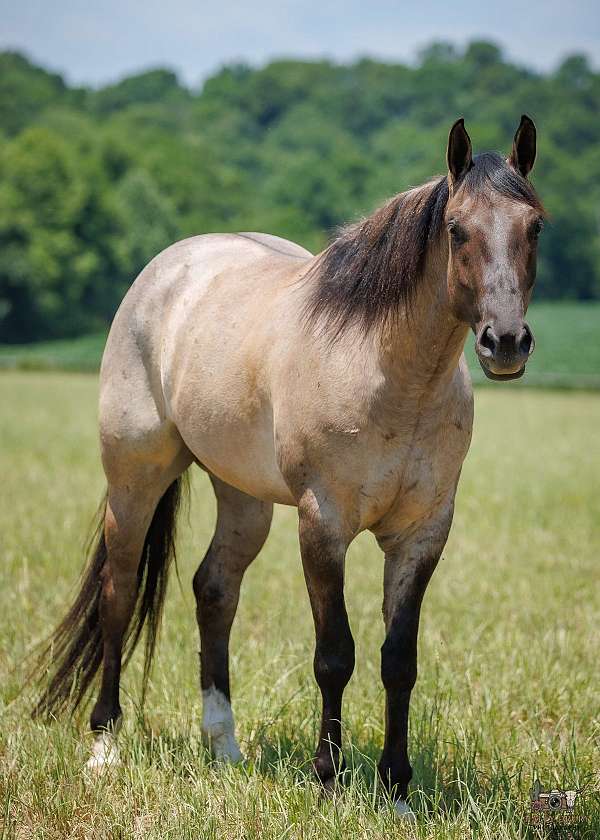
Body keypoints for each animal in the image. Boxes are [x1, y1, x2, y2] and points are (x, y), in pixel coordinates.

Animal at [33, 116, 544, 820]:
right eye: (456, 228)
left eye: (536, 225)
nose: (506, 342)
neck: (390, 374)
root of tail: (167, 270)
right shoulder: (322, 525)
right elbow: (335, 655)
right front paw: (329, 779)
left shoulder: (421, 534)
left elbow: (398, 659)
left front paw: (396, 789)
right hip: (134, 480)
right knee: (120, 591)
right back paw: (105, 746)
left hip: (242, 499)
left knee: (214, 590)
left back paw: (224, 745)